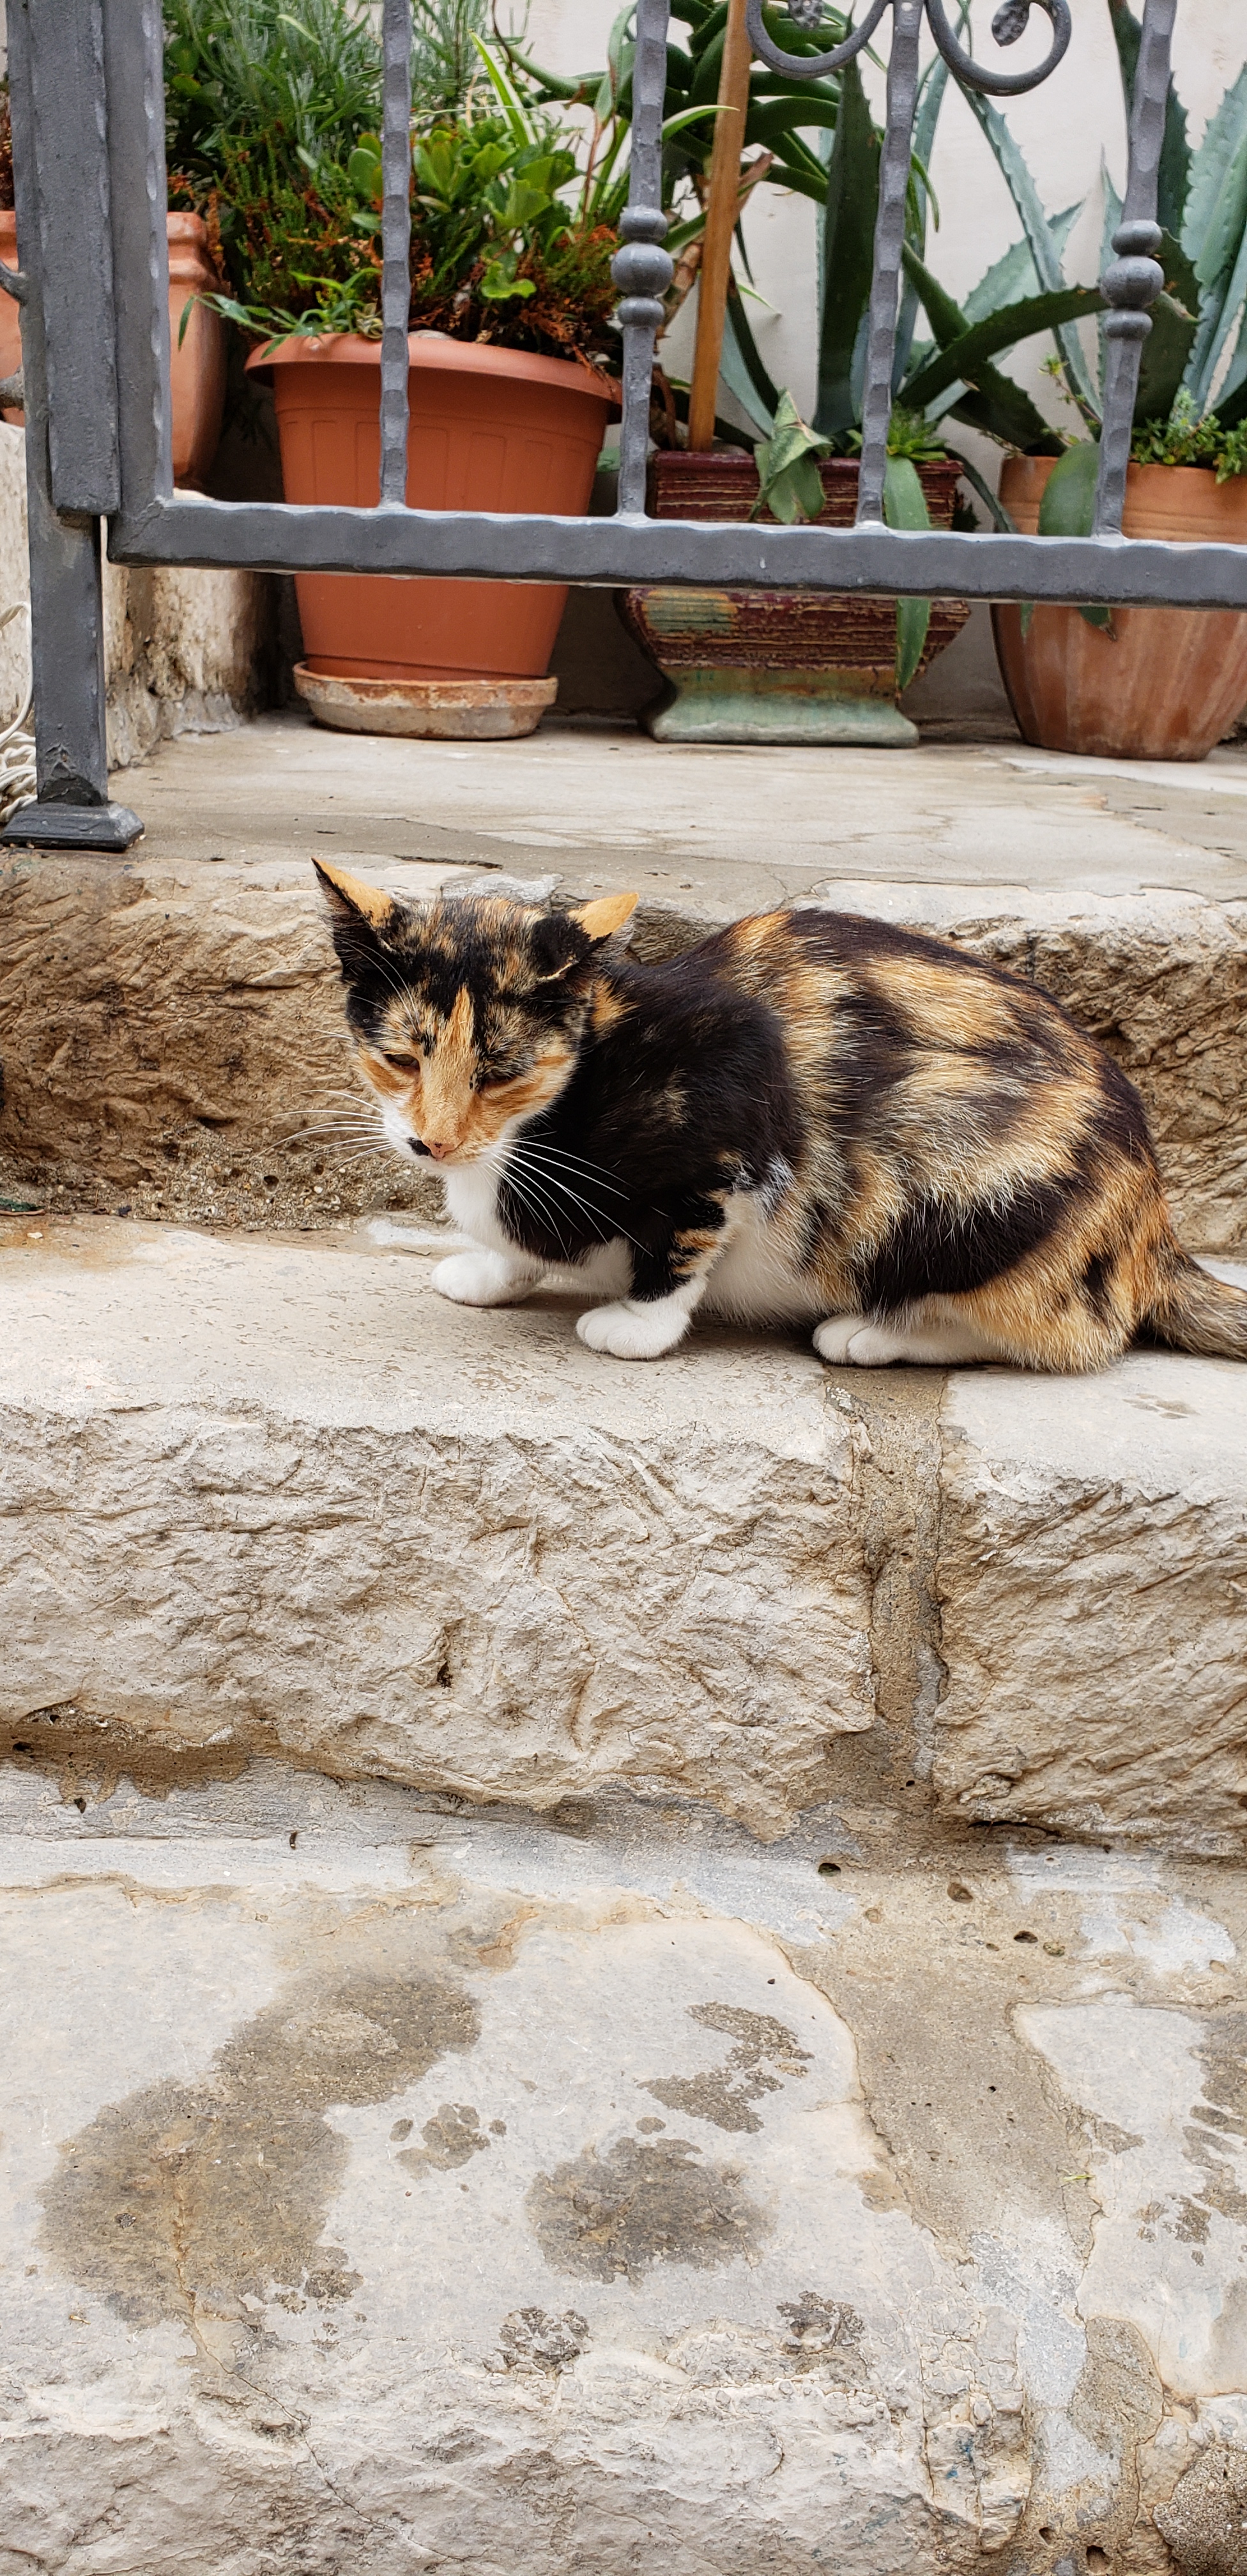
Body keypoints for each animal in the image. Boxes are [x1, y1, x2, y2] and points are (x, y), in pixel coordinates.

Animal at [314, 859, 1247, 1372]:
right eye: (401, 1059)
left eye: (499, 1073)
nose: (432, 1142)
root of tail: (1152, 1230)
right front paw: (489, 1270)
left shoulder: (727, 1119)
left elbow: (684, 1242)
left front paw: (637, 1326)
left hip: (963, 1193)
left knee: (1075, 1338)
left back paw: (870, 1335)